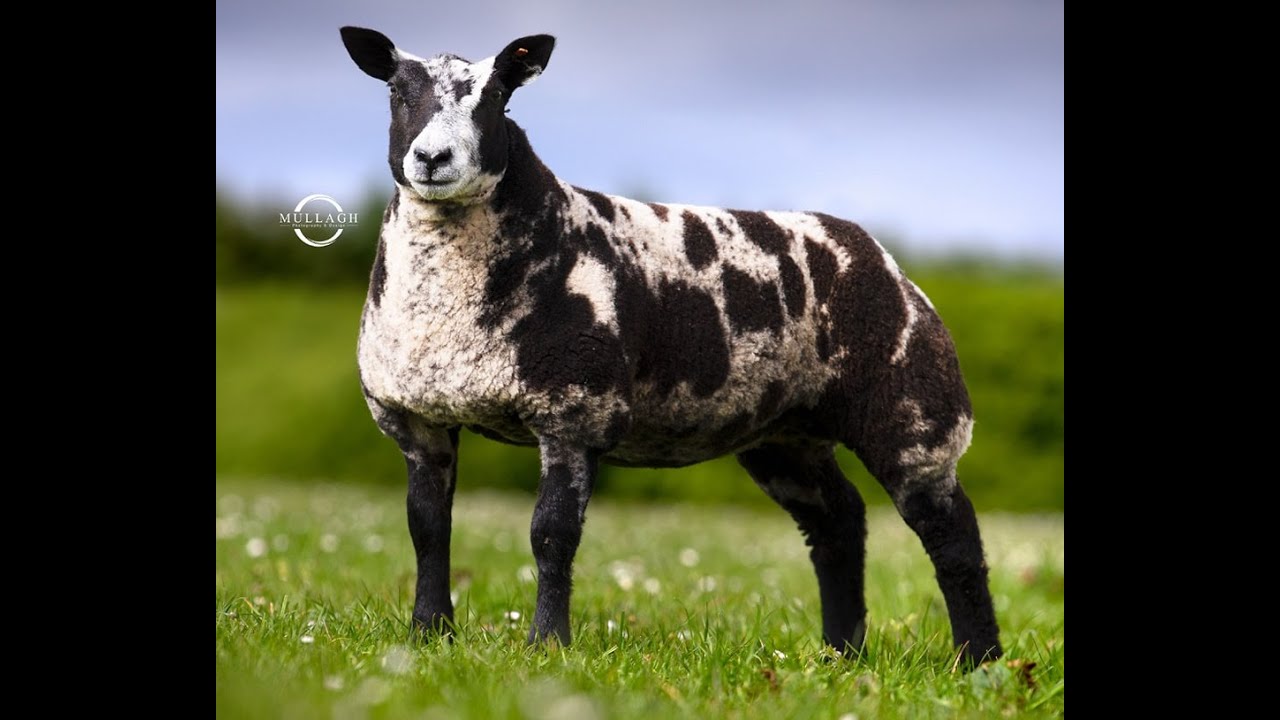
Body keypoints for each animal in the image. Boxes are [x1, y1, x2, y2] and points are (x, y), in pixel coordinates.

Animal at [339, 26, 1002, 664]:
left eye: (499, 96)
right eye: (396, 92)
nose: (432, 157)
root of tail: (876, 254)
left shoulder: (574, 410)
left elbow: (551, 535)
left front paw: (547, 646)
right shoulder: (416, 419)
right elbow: (427, 530)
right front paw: (428, 635)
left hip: (912, 407)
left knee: (953, 535)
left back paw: (979, 660)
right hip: (784, 433)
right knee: (838, 523)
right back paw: (842, 653)